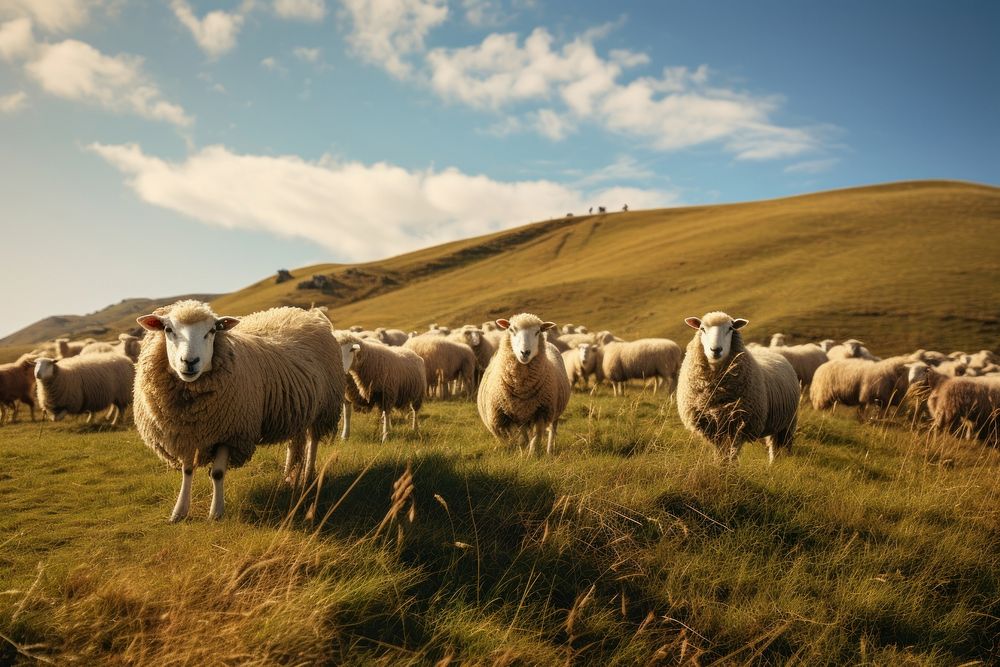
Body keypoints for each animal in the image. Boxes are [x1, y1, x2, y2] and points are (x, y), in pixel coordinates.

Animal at [133, 300, 344, 524]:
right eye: (168, 329)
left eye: (212, 330)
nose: (190, 362)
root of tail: (307, 314)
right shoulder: (188, 434)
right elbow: (187, 470)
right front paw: (179, 512)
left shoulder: (231, 433)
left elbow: (217, 473)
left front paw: (216, 513)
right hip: (298, 406)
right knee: (294, 442)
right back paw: (288, 477)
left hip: (324, 408)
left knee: (313, 441)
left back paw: (307, 477)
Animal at [476, 314, 572, 454]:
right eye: (511, 329)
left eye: (537, 332)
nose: (525, 352)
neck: (521, 387)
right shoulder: (507, 416)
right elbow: (518, 439)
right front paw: (522, 451)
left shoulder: (542, 411)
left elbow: (536, 438)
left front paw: (531, 455)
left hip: (555, 409)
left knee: (552, 430)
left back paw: (549, 450)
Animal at [676, 314, 800, 464]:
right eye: (702, 328)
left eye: (730, 328)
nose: (716, 350)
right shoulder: (711, 426)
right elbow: (720, 452)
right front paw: (719, 465)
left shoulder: (740, 426)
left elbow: (733, 453)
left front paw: (730, 467)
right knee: (773, 445)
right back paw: (772, 464)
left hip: (788, 422)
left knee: (781, 445)